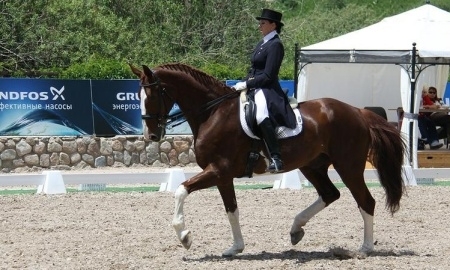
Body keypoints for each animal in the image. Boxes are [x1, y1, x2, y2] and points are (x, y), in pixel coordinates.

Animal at [128, 62, 406, 256]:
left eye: (153, 95)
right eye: (138, 97)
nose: (151, 135)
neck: (213, 113)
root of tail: (358, 112)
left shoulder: (218, 170)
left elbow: (181, 190)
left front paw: (184, 236)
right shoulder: (222, 176)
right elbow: (232, 210)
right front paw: (236, 248)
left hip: (348, 166)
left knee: (365, 201)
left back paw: (365, 248)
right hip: (312, 166)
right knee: (330, 194)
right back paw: (296, 229)